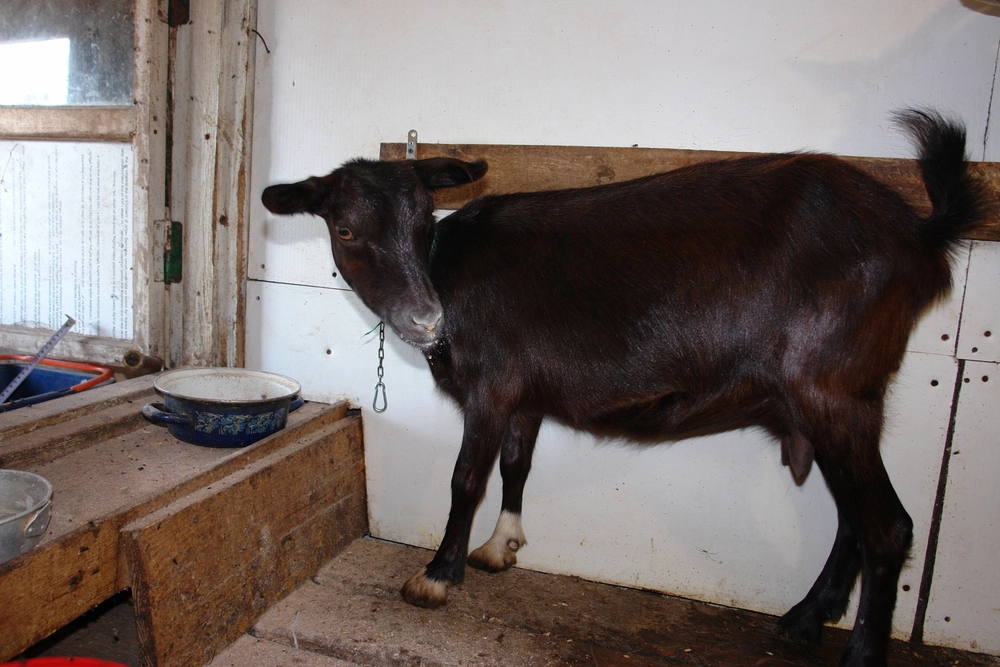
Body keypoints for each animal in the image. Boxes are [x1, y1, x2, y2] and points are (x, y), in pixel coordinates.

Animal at [261, 110, 986, 667]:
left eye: (421, 220)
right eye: (346, 228)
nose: (425, 320)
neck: (449, 272)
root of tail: (917, 230)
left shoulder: (493, 388)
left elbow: (466, 478)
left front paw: (438, 574)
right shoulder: (525, 394)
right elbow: (518, 464)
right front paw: (502, 545)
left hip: (831, 390)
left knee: (888, 525)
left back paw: (856, 650)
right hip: (849, 399)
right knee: (853, 516)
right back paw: (806, 618)